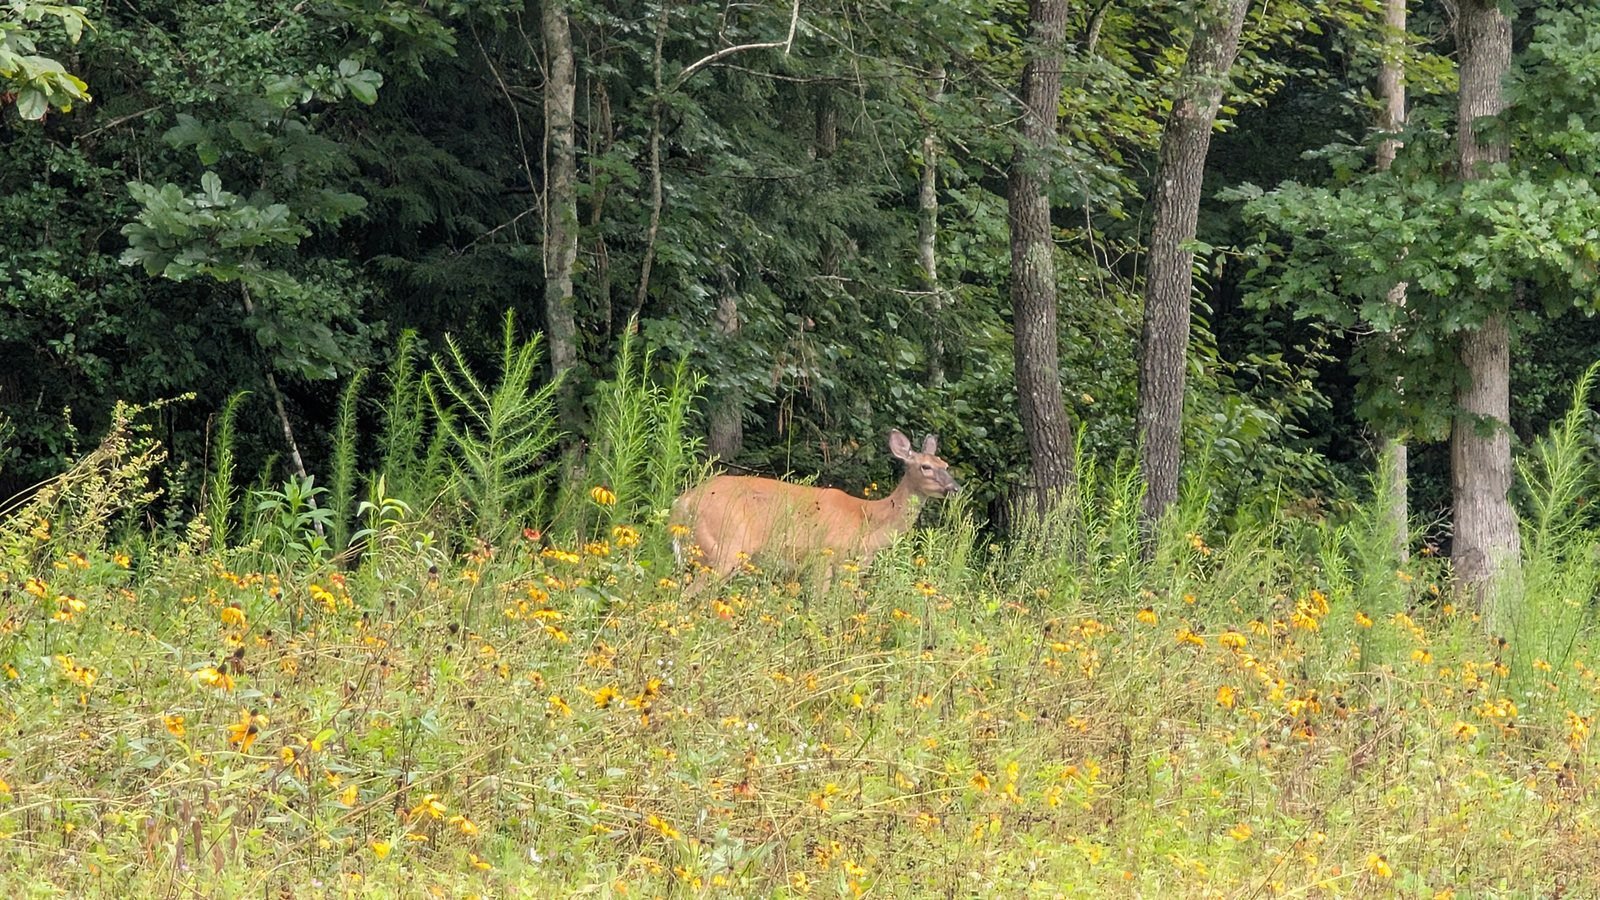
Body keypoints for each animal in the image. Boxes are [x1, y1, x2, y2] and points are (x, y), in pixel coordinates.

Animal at [670, 429, 960, 584]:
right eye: (926, 467)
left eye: (946, 465)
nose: (955, 487)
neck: (868, 521)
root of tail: (683, 502)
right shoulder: (825, 556)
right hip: (724, 547)